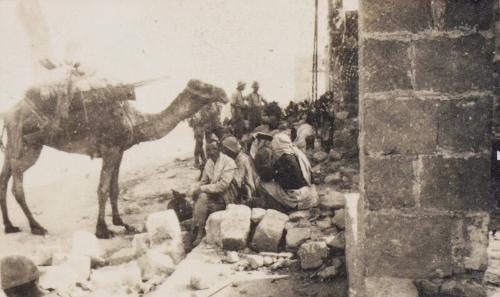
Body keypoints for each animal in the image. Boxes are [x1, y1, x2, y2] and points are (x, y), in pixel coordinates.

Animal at [0, 78, 227, 238]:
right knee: (17, 186)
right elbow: (102, 189)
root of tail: (7, 114)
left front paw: (121, 222)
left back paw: (10, 226)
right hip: (27, 146)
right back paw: (37, 227)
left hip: (14, 146)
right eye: (203, 86)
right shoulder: (109, 150)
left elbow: (114, 188)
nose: (224, 93)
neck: (133, 120)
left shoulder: (119, 151)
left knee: (4, 179)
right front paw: (102, 230)